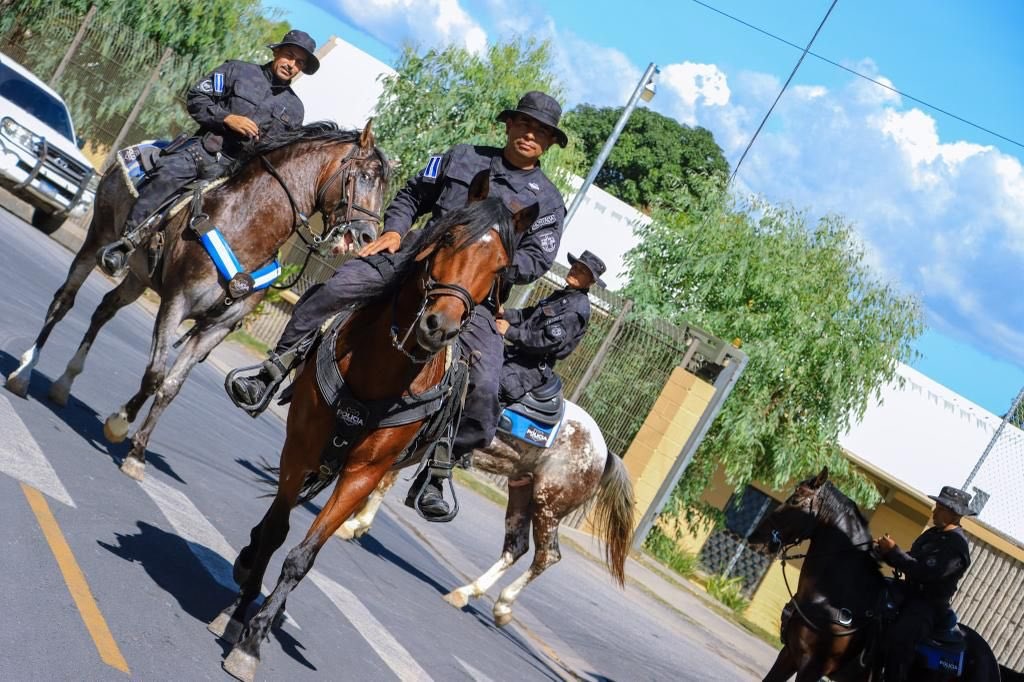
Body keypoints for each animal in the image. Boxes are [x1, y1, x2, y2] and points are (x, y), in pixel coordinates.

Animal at [4, 120, 391, 477]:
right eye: (365, 177)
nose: (367, 236)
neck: (246, 226)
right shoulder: (176, 304)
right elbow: (155, 374)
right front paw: (120, 425)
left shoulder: (216, 327)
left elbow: (171, 386)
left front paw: (136, 450)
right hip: (97, 239)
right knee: (64, 301)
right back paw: (24, 372)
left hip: (138, 278)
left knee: (104, 310)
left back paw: (64, 383)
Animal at [210, 171, 540, 679]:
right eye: (449, 237)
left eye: (501, 264)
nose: (440, 327)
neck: (380, 368)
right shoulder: (299, 448)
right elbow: (277, 530)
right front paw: (238, 608)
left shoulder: (363, 474)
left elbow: (303, 555)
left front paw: (253, 639)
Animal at [335, 399, 634, 626]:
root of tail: (604, 452)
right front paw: (356, 520)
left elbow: (383, 481)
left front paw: (354, 524)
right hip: (521, 491)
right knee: (517, 547)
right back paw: (468, 592)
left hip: (547, 505)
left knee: (547, 555)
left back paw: (502, 603)